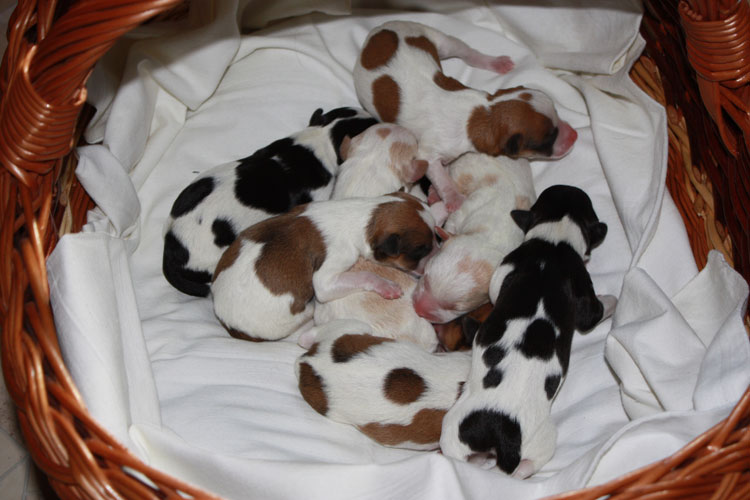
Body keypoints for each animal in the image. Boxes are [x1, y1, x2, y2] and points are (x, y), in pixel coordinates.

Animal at [211, 193, 437, 342]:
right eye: (421, 251)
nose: (436, 254)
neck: (363, 215)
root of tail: (225, 321)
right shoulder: (327, 279)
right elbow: (364, 275)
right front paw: (386, 286)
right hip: (305, 311)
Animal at [353, 20, 577, 212]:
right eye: (547, 139)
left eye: (558, 113)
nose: (574, 135)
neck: (483, 112)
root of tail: (379, 28)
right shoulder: (429, 153)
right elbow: (440, 174)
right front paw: (452, 197)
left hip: (436, 38)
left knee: (465, 51)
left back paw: (494, 62)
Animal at [412, 153, 536, 324]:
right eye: (426, 278)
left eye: (456, 308)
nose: (418, 310)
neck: (489, 234)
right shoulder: (464, 210)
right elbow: (452, 222)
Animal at [439, 185, 617, 478]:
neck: (555, 239)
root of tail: (502, 431)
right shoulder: (582, 287)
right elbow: (594, 312)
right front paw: (611, 301)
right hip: (540, 437)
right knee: (521, 469)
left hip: (459, 431)